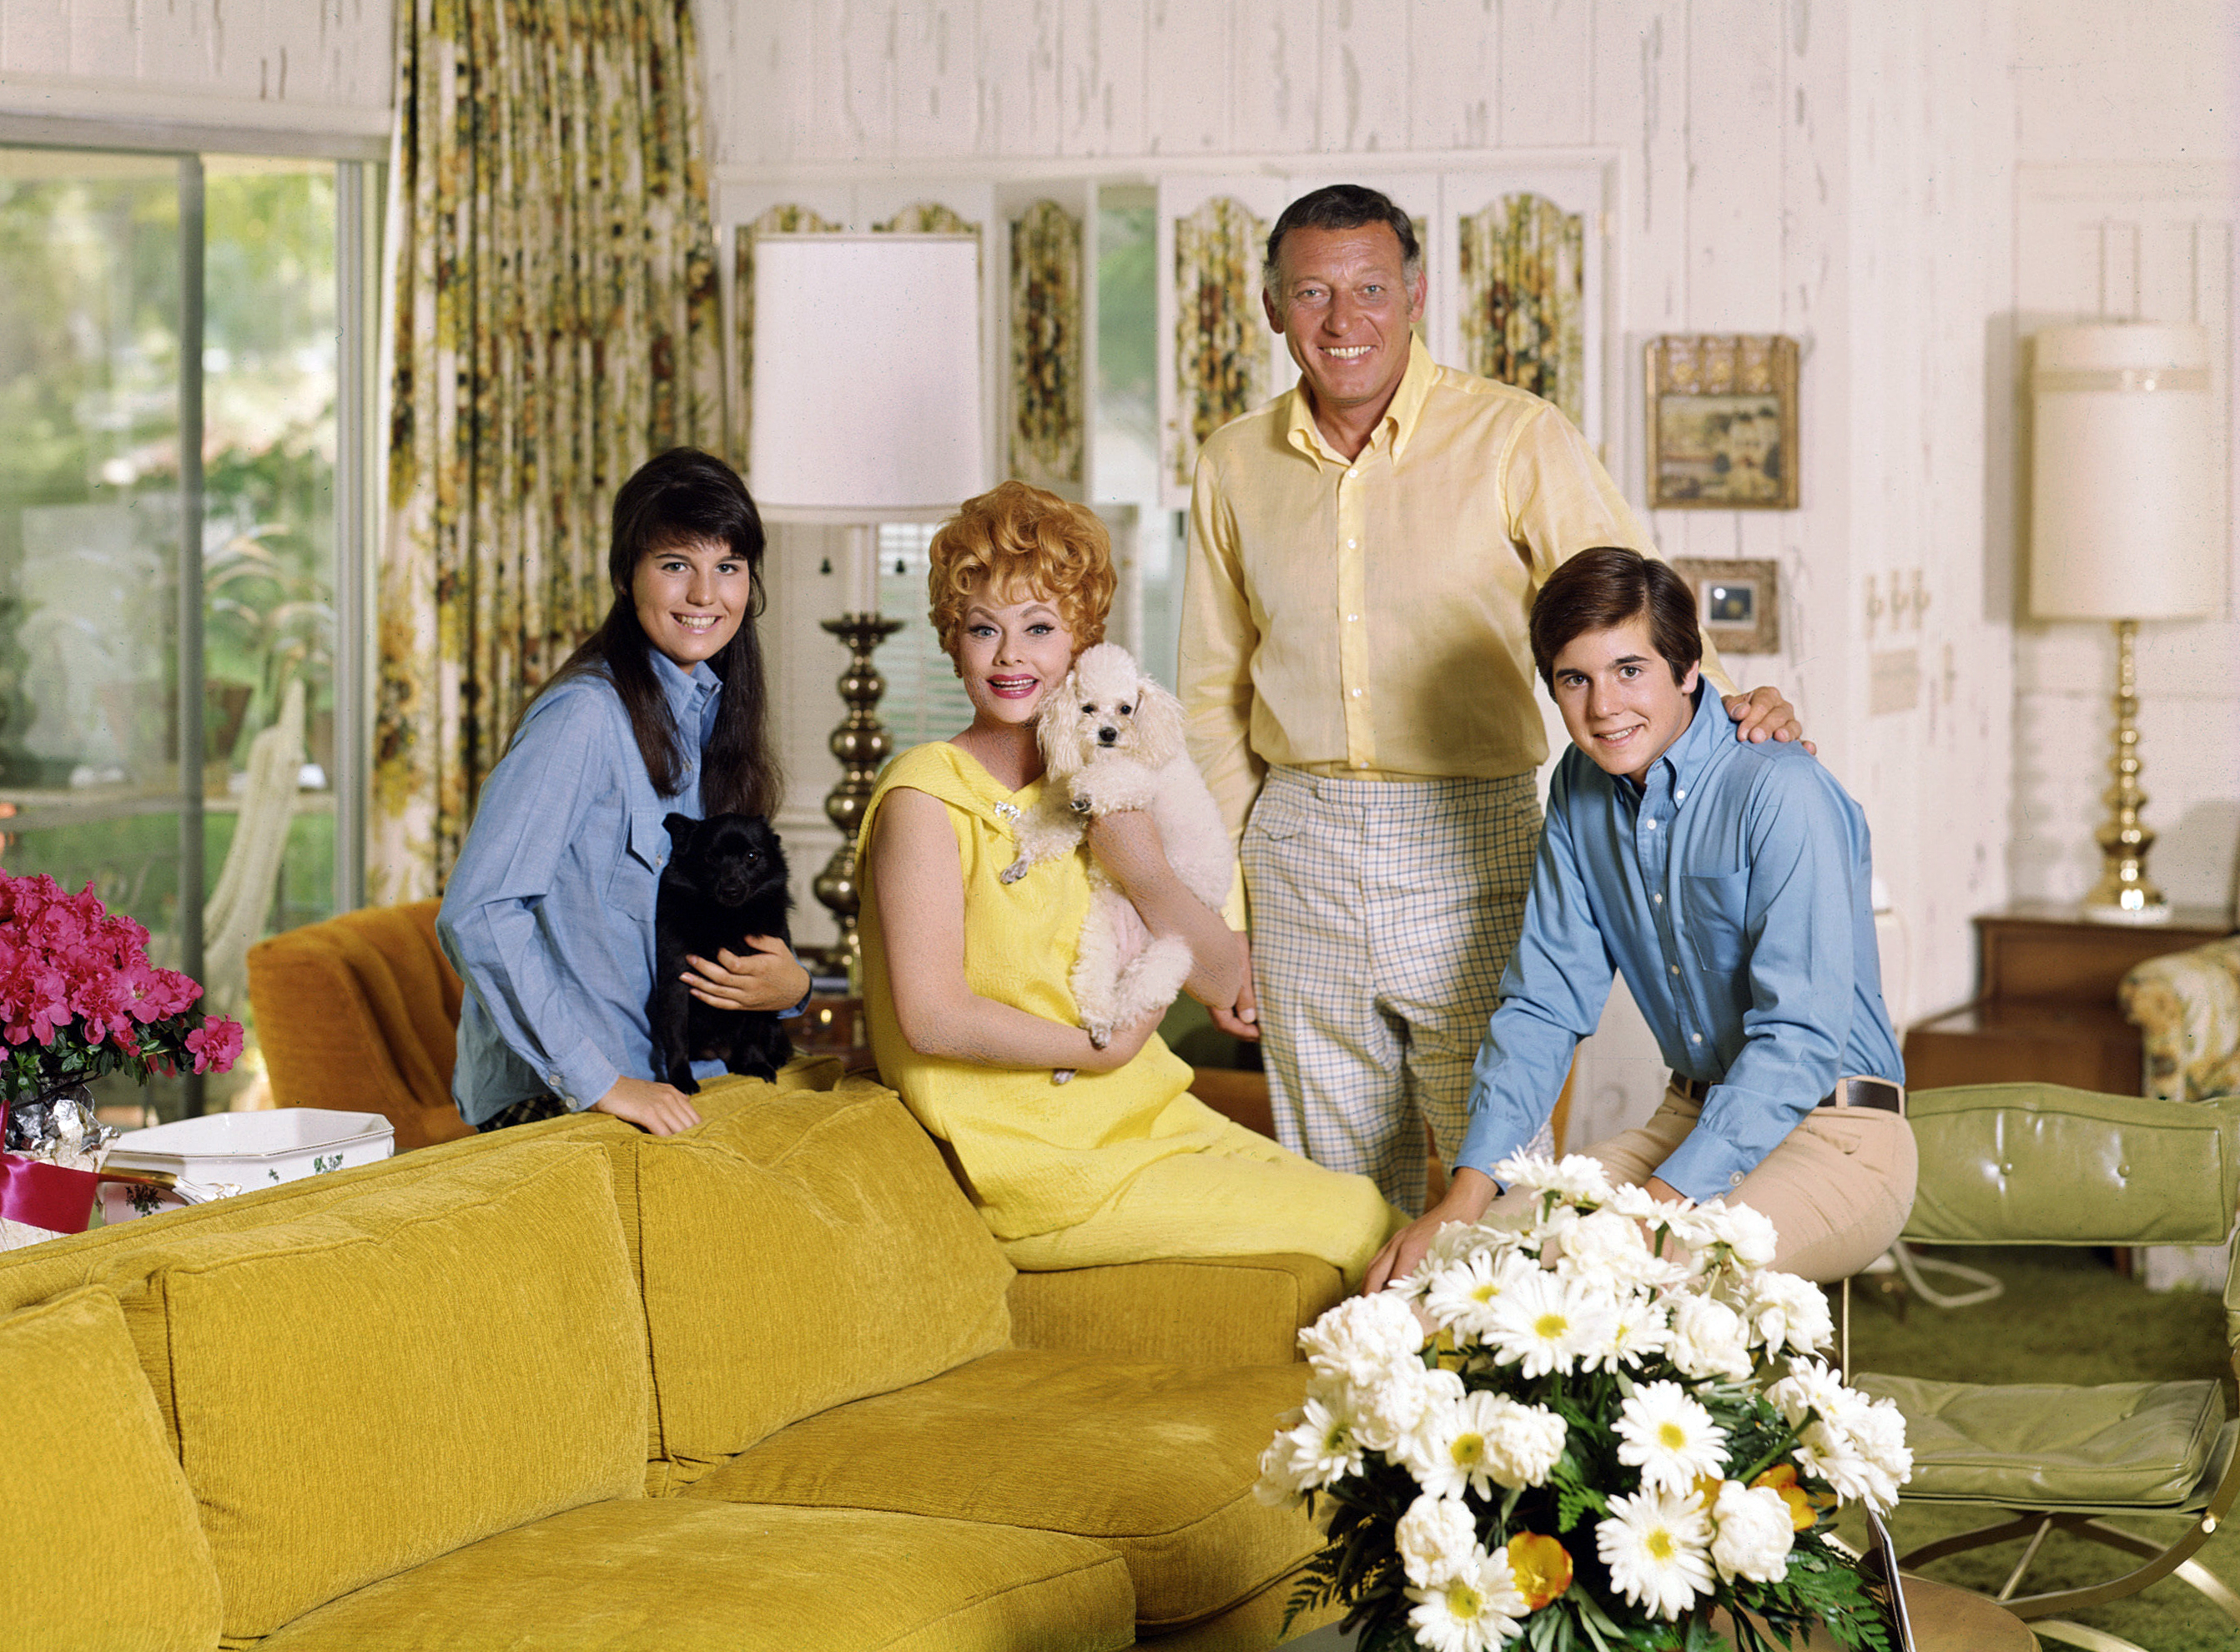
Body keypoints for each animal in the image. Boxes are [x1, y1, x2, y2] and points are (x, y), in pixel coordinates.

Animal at [649, 807, 797, 1089]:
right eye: (710, 857)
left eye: (752, 856)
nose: (730, 890)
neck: (726, 919)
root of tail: (720, 1052)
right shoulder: (676, 981)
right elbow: (677, 1036)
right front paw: (681, 1079)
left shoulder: (759, 986)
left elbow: (752, 1033)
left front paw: (755, 1064)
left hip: (774, 1021)